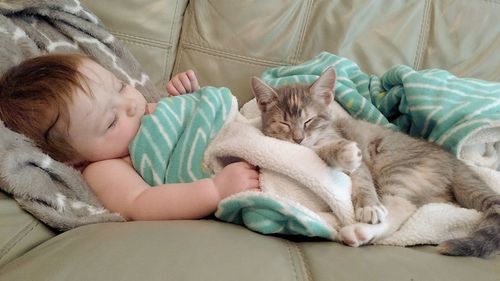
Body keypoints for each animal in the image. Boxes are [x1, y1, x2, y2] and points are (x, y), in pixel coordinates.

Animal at [252, 67, 498, 256]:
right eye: (284, 123)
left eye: (309, 120)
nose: (298, 138)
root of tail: (453, 160)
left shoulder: (353, 156)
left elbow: (361, 180)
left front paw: (368, 205)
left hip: (400, 169)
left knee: (400, 206)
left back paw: (361, 230)